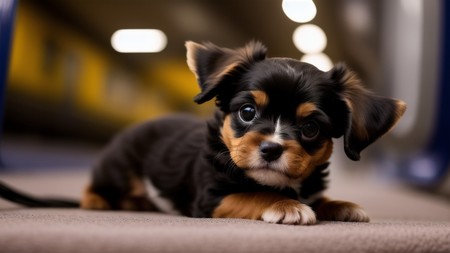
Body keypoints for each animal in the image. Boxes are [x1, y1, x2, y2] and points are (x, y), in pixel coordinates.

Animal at [81, 41, 408, 225]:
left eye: (310, 128)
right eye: (247, 112)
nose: (271, 149)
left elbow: (315, 196)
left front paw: (339, 205)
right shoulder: (211, 198)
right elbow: (254, 194)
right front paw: (287, 206)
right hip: (118, 169)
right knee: (92, 188)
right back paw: (99, 201)